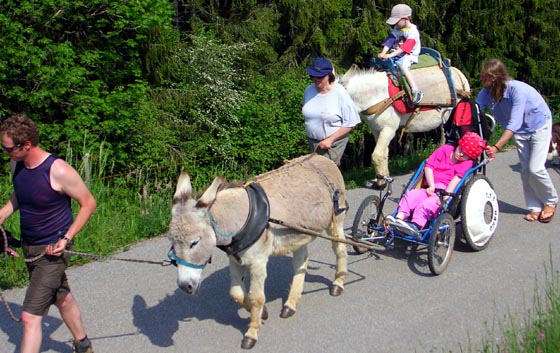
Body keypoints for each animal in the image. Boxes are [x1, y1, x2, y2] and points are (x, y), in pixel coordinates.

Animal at [340, 63, 470, 187]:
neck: (376, 97)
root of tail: (459, 73)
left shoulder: (389, 129)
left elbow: (377, 155)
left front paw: (381, 183)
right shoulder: (377, 130)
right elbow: (384, 154)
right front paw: (382, 178)